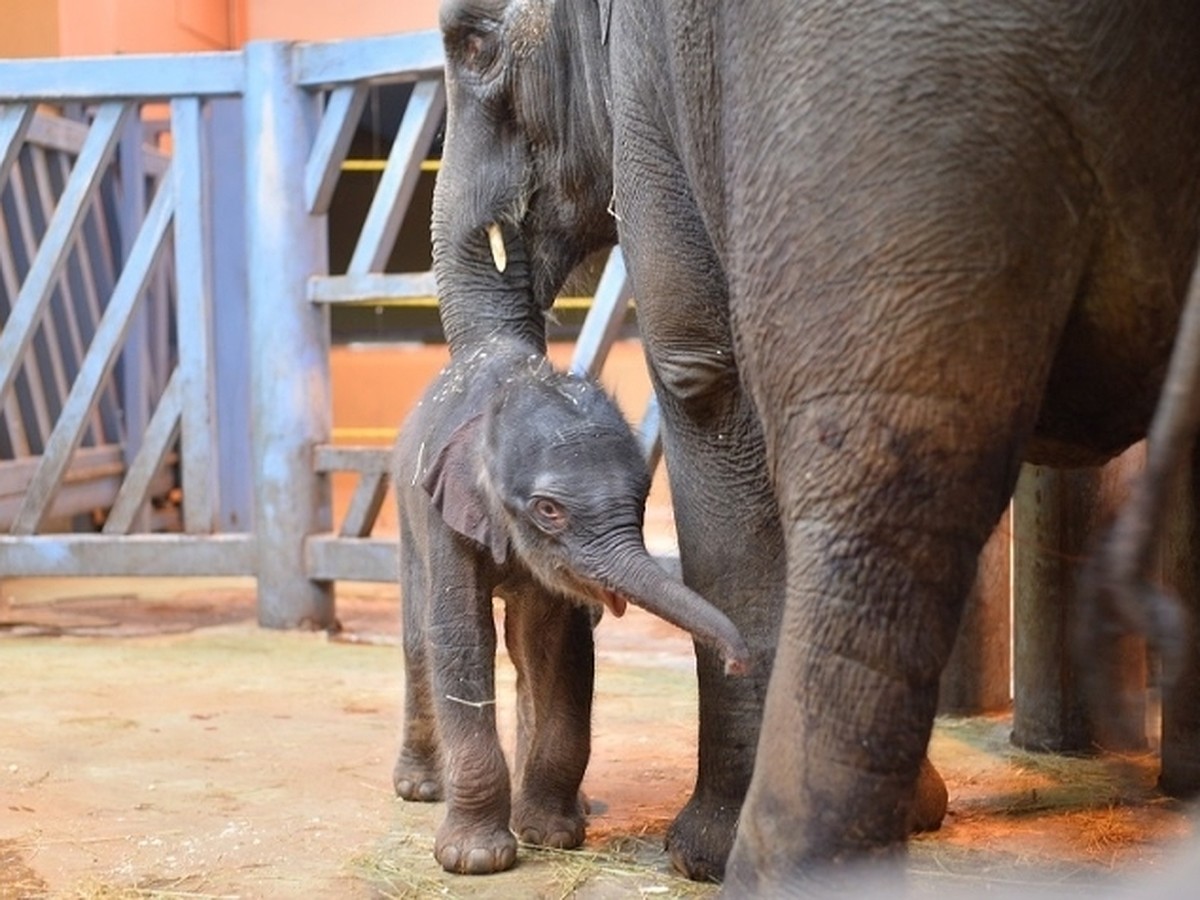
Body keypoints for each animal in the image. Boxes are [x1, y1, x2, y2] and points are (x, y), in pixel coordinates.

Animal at [396, 336, 748, 873]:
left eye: (642, 498)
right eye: (548, 510)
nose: (738, 661)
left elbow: (561, 647)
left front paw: (550, 834)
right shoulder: (446, 519)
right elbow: (460, 638)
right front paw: (474, 859)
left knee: (524, 659)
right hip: (405, 510)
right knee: (419, 642)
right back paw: (417, 788)